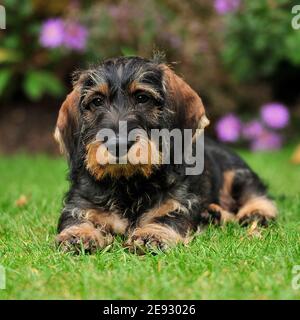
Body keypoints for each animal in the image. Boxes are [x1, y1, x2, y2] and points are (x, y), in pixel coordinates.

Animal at [54, 56, 276, 254]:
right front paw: (78, 234)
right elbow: (78, 217)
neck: (128, 183)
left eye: (142, 97)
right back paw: (212, 213)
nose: (118, 144)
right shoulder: (80, 202)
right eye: (97, 101)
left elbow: (166, 217)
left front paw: (151, 235)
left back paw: (256, 213)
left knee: (254, 192)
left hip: (237, 173)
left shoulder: (178, 203)